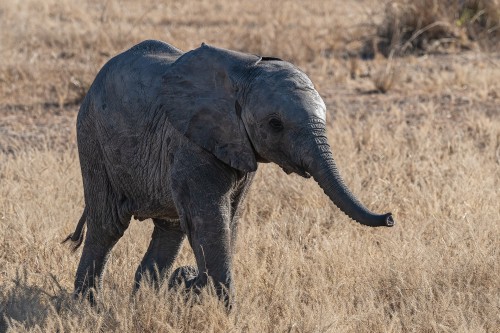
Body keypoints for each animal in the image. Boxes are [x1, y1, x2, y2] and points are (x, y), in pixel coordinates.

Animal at [63, 40, 394, 304]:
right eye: (276, 124)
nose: (390, 218)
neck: (245, 73)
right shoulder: (192, 141)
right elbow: (211, 220)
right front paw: (223, 308)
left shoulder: (239, 148)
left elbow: (229, 219)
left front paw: (195, 289)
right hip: (92, 137)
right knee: (108, 225)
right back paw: (88, 307)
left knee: (170, 230)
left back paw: (142, 300)